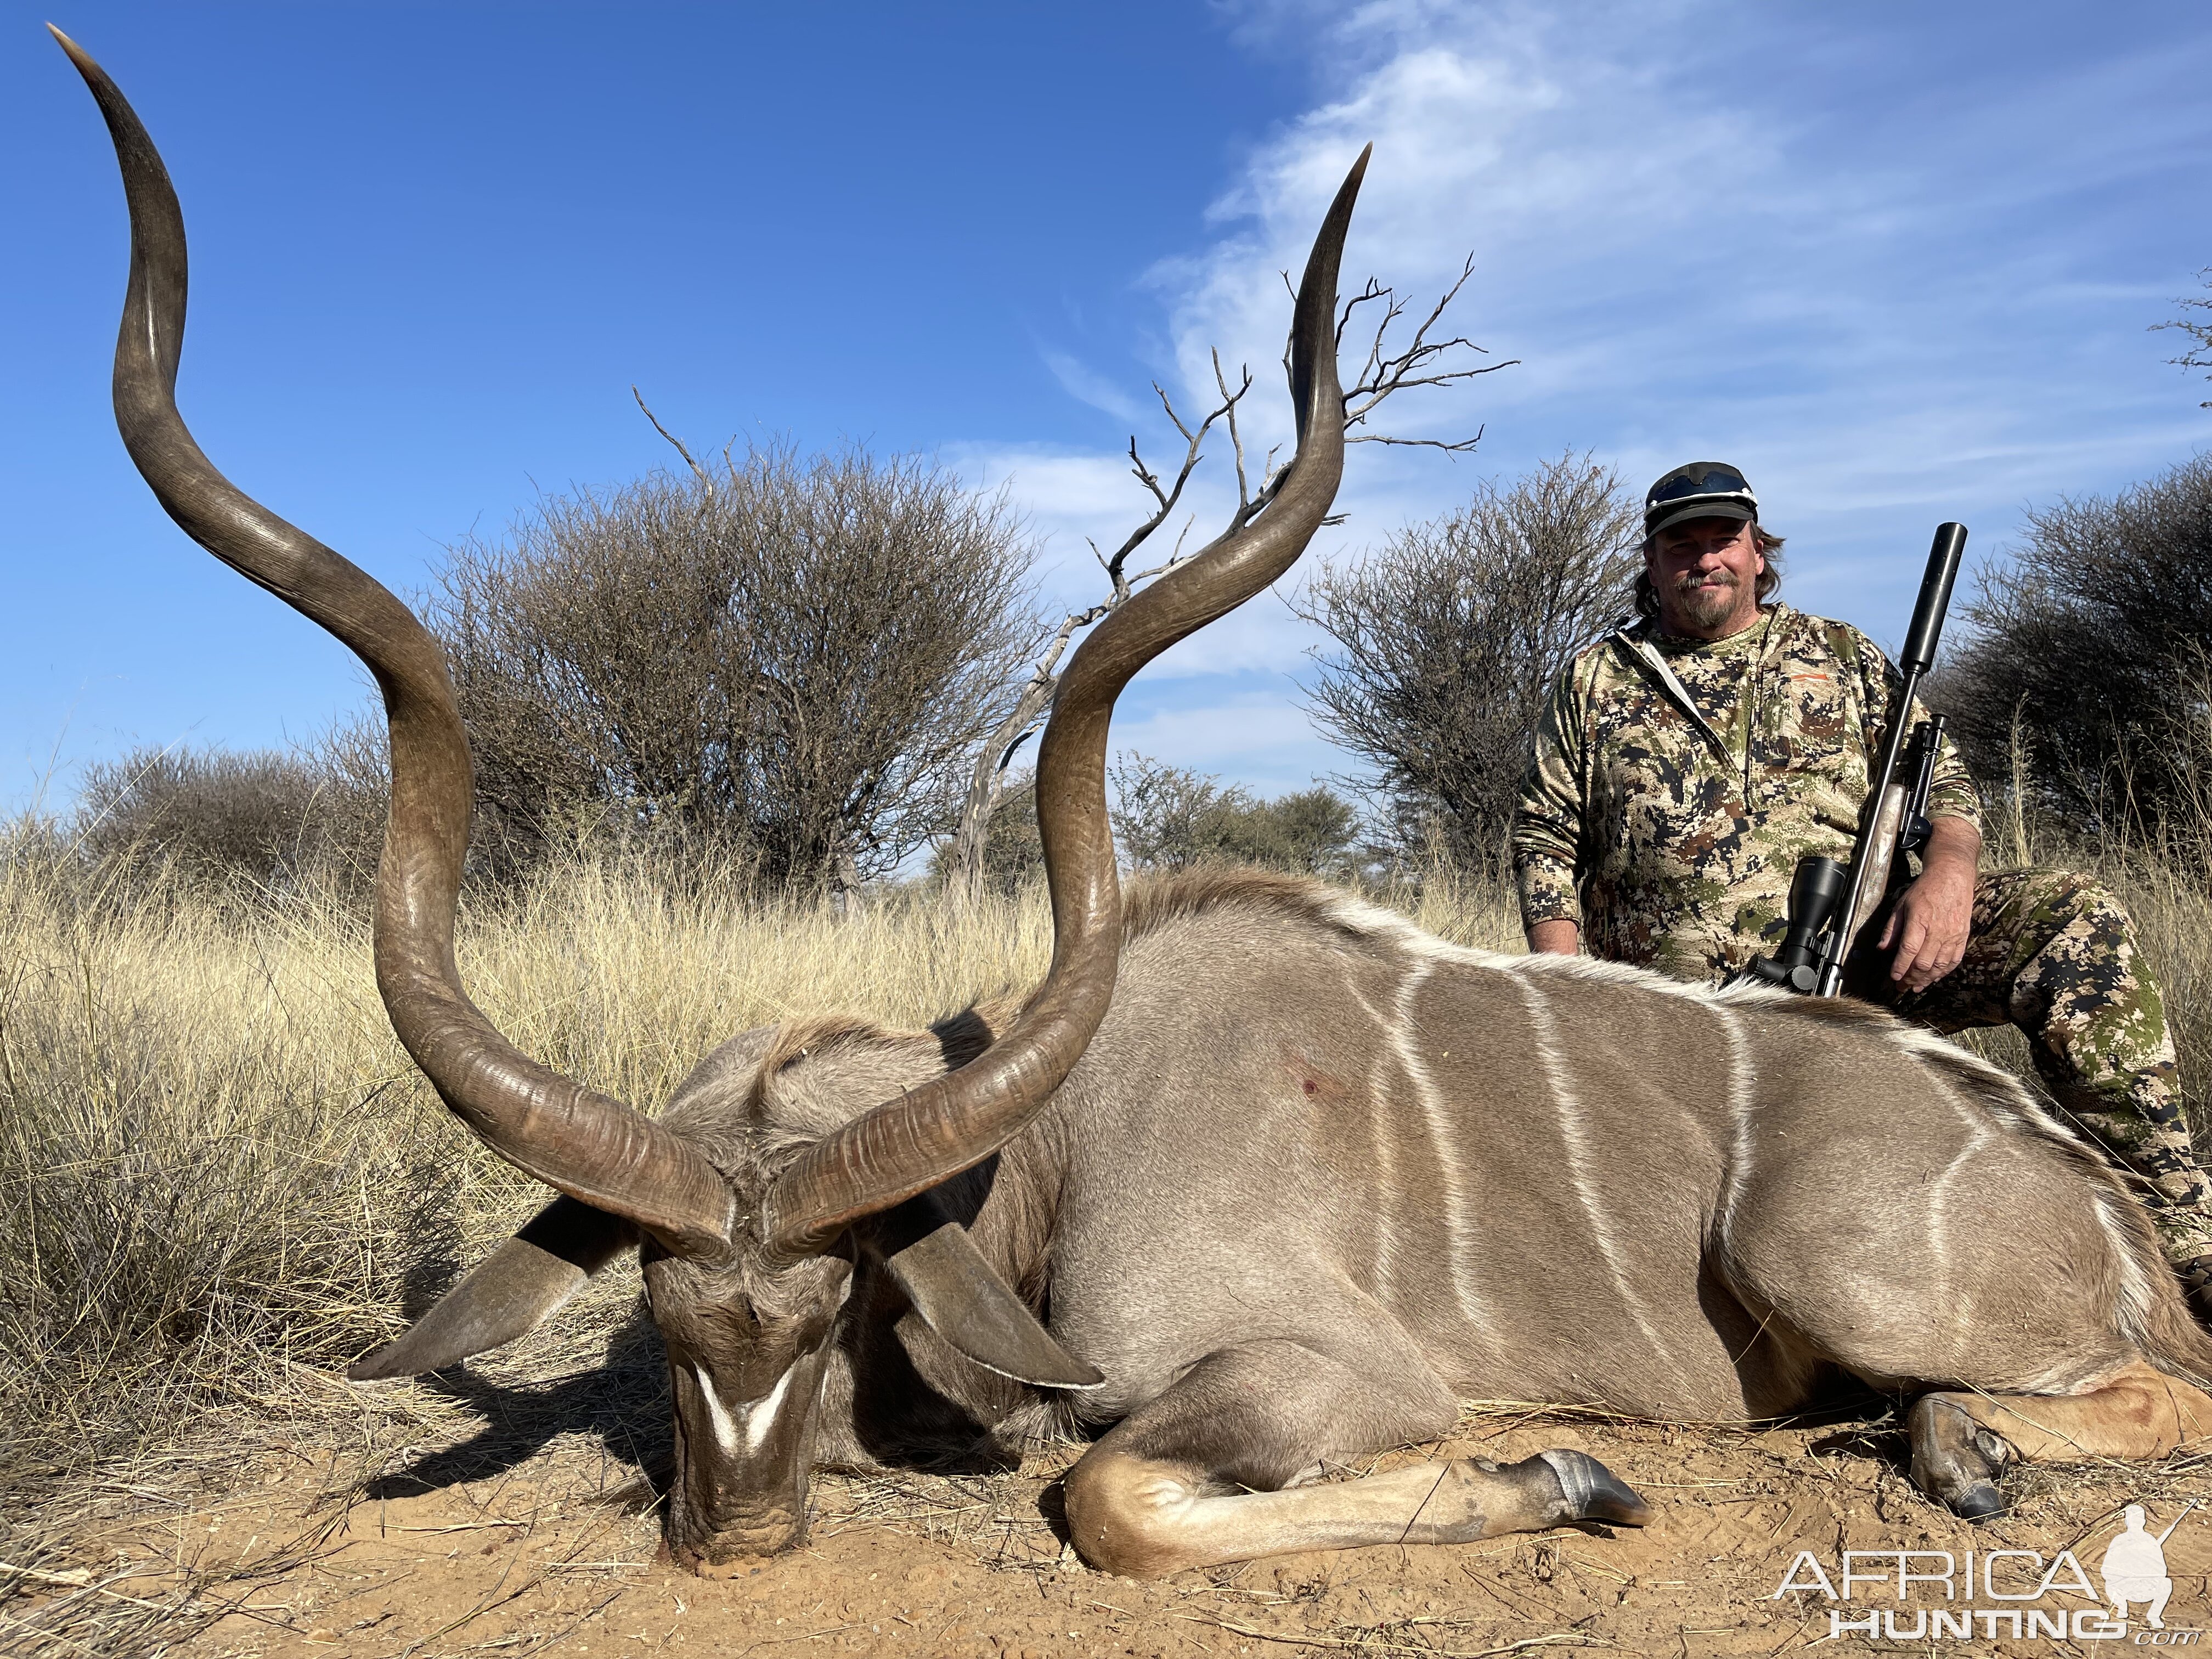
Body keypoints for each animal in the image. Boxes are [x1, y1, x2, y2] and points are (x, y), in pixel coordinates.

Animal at [60, 26, 2212, 1583]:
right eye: (666, 1313)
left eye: (835, 1298)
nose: (735, 1534)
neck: (1055, 1150)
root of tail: (2095, 1201)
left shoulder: (1326, 1372)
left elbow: (1106, 1493)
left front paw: (1564, 1479)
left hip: (1824, 1258)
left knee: (2153, 1389)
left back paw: (1966, 1443)